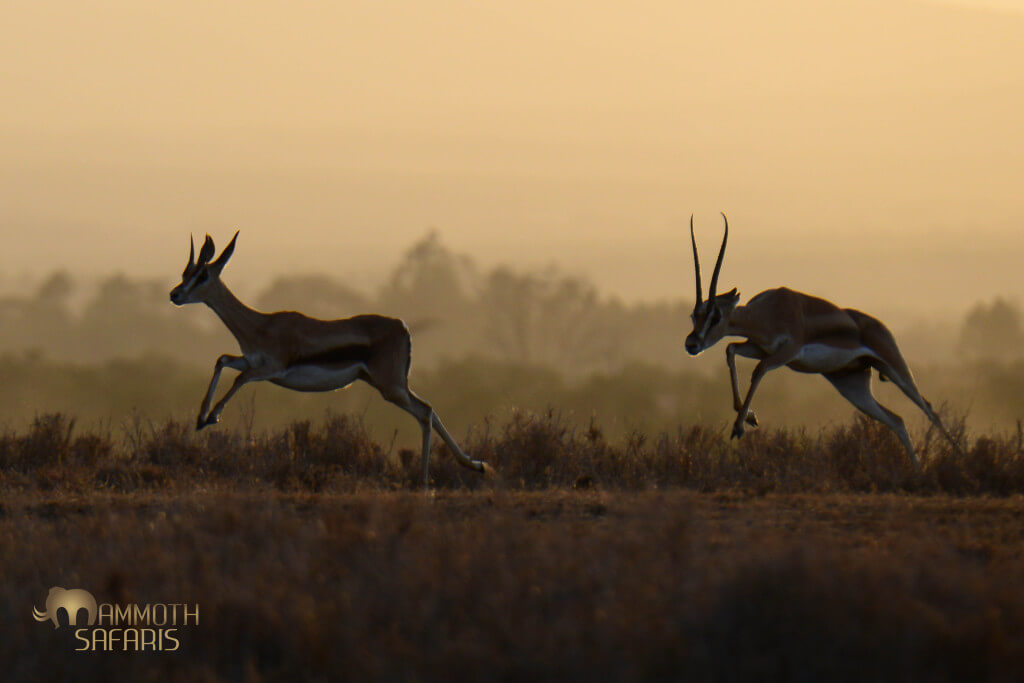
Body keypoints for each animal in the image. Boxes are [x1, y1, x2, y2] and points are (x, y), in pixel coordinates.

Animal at [169, 232, 492, 485]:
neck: (260, 325)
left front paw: (210, 418)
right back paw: (475, 466)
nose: (175, 294)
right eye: (186, 272)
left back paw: (426, 481)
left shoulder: (270, 369)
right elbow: (222, 360)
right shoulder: (252, 361)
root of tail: (402, 326)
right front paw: (200, 418)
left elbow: (238, 377)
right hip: (383, 384)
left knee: (425, 411)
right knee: (429, 411)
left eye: (202, 275)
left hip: (391, 387)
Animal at [684, 213, 957, 466]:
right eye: (694, 314)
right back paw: (918, 471)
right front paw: (750, 416)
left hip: (896, 370)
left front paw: (740, 425)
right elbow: (730, 349)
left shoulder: (786, 352)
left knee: (930, 409)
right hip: (853, 387)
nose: (692, 344)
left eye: (716, 316)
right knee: (897, 420)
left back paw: (956, 457)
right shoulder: (758, 347)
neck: (768, 312)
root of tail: (879, 326)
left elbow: (759, 370)